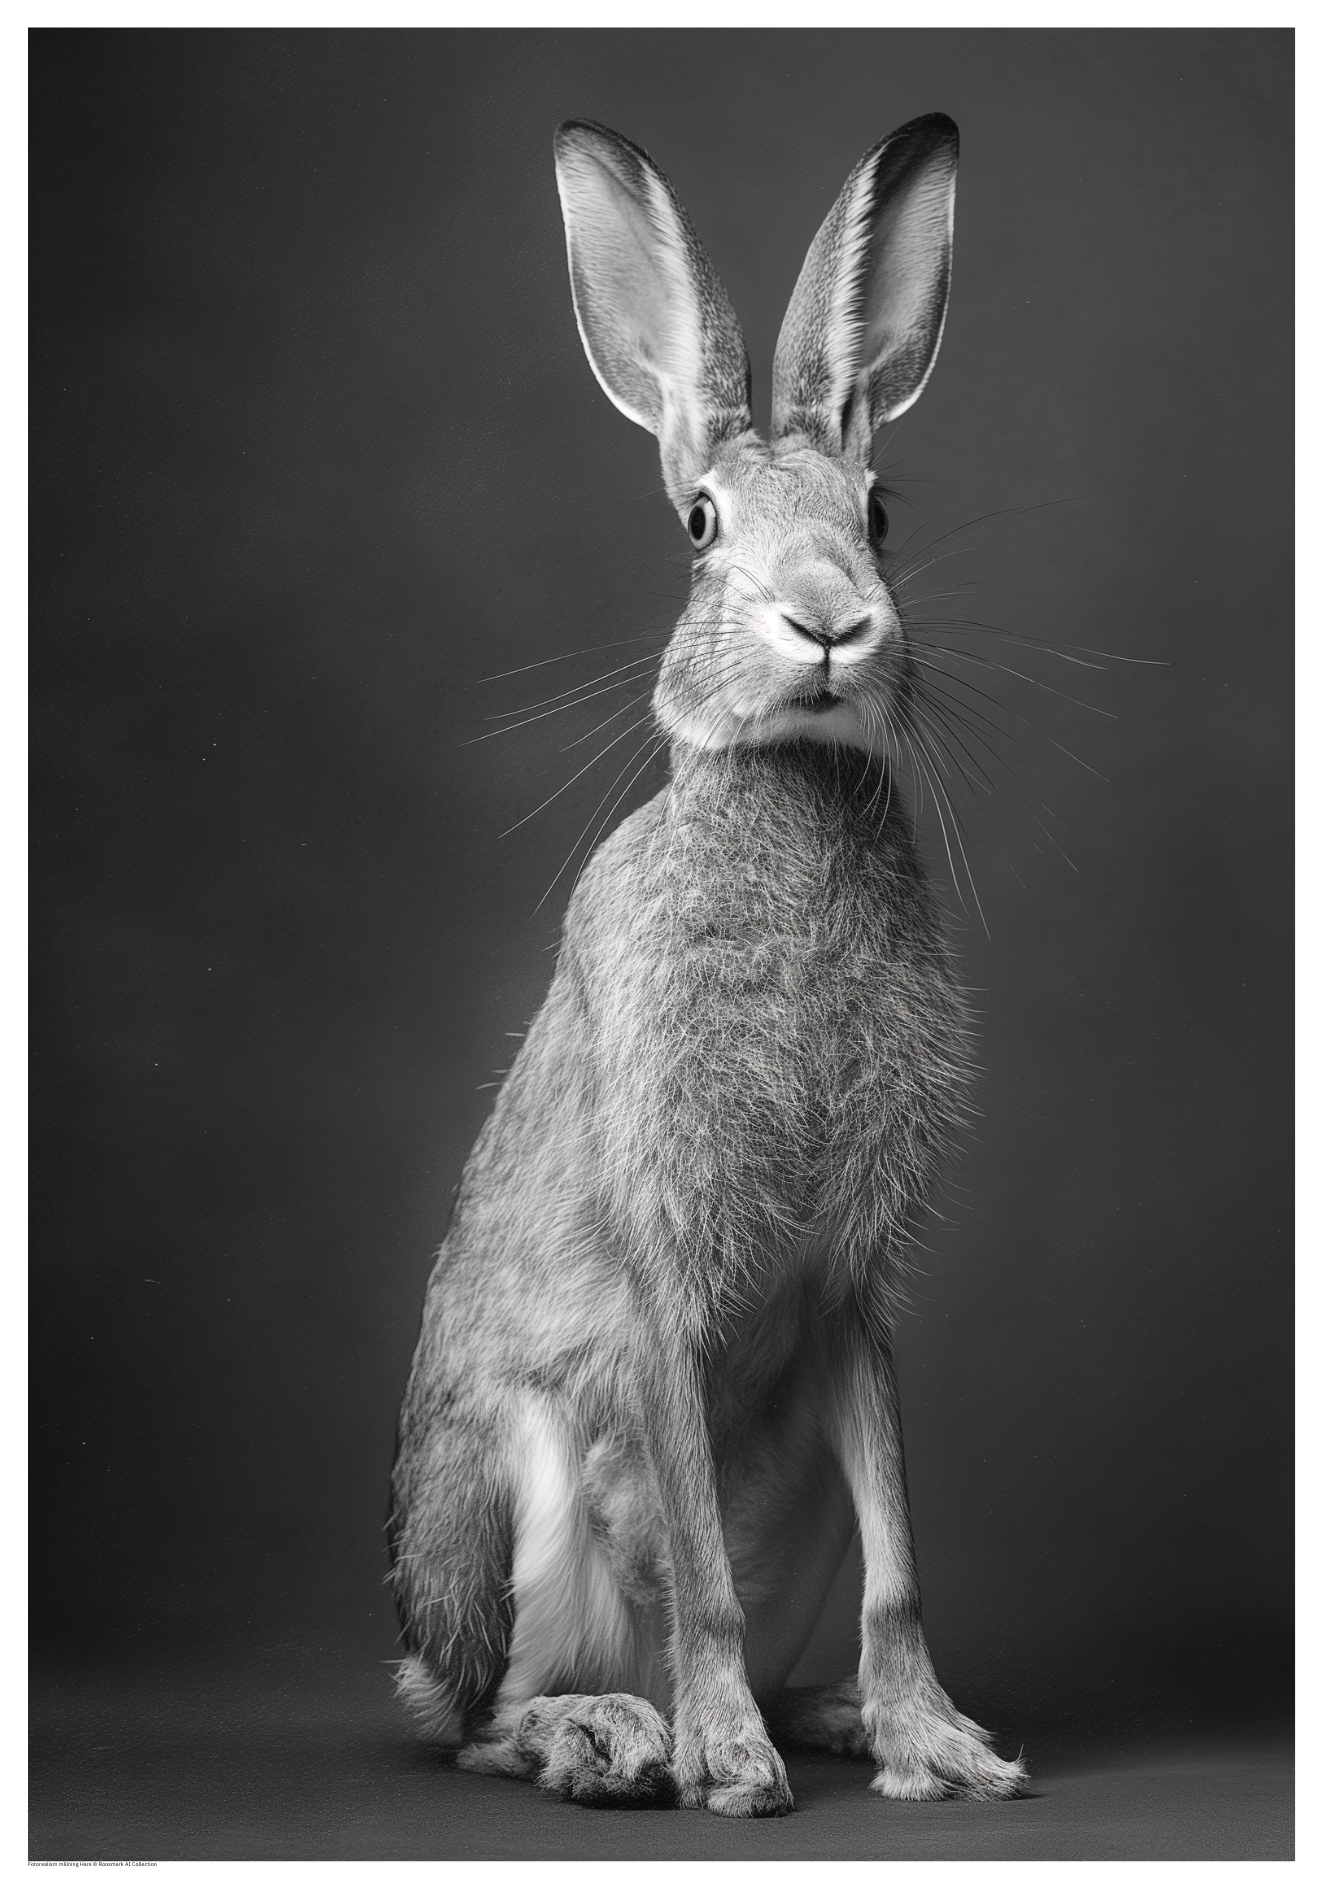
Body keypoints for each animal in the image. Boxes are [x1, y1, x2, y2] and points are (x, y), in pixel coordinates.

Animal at [388, 113, 1027, 1817]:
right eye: (699, 527)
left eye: (878, 510)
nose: (827, 622)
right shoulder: (661, 1270)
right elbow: (697, 1567)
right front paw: (728, 1765)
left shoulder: (848, 1295)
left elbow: (899, 1564)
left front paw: (940, 1740)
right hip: (509, 1499)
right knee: (483, 1715)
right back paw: (622, 1738)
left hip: (787, 1466)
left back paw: (846, 1724)